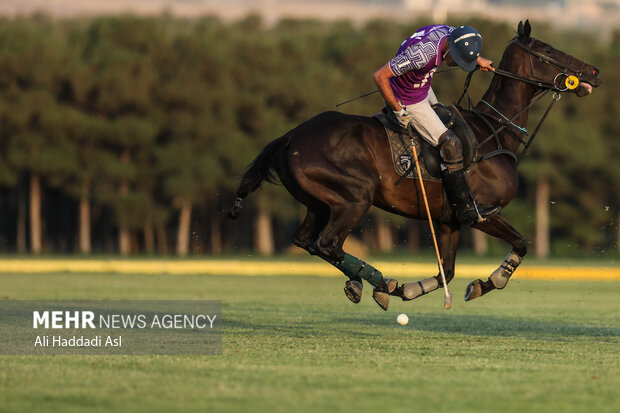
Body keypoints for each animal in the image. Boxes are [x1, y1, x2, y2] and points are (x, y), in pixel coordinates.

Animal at [228, 20, 600, 308]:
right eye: (548, 50)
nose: (594, 72)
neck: (493, 131)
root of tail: (289, 137)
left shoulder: (449, 221)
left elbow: (447, 271)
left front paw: (415, 289)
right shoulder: (481, 213)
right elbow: (521, 244)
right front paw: (489, 281)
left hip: (318, 203)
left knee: (306, 241)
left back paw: (369, 283)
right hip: (355, 196)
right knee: (327, 243)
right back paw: (380, 282)